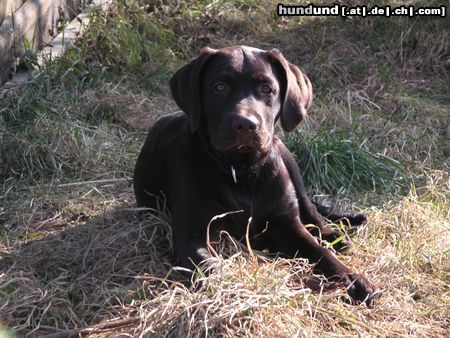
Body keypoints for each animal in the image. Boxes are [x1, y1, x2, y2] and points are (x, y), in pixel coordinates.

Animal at [134, 45, 376, 306]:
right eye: (219, 87)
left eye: (267, 89)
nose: (246, 124)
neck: (241, 171)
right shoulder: (192, 234)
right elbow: (210, 267)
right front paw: (228, 291)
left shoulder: (286, 224)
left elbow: (321, 254)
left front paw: (354, 279)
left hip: (287, 157)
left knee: (310, 208)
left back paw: (333, 236)